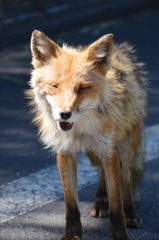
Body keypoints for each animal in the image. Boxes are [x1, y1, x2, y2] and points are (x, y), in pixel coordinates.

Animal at [26, 30, 147, 240]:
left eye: (82, 88)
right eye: (54, 86)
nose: (64, 114)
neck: (80, 130)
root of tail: (121, 51)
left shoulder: (108, 150)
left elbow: (117, 203)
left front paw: (119, 233)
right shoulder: (65, 152)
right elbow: (71, 203)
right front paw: (73, 234)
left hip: (125, 146)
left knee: (125, 178)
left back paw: (130, 213)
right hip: (94, 154)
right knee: (103, 172)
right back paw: (100, 201)